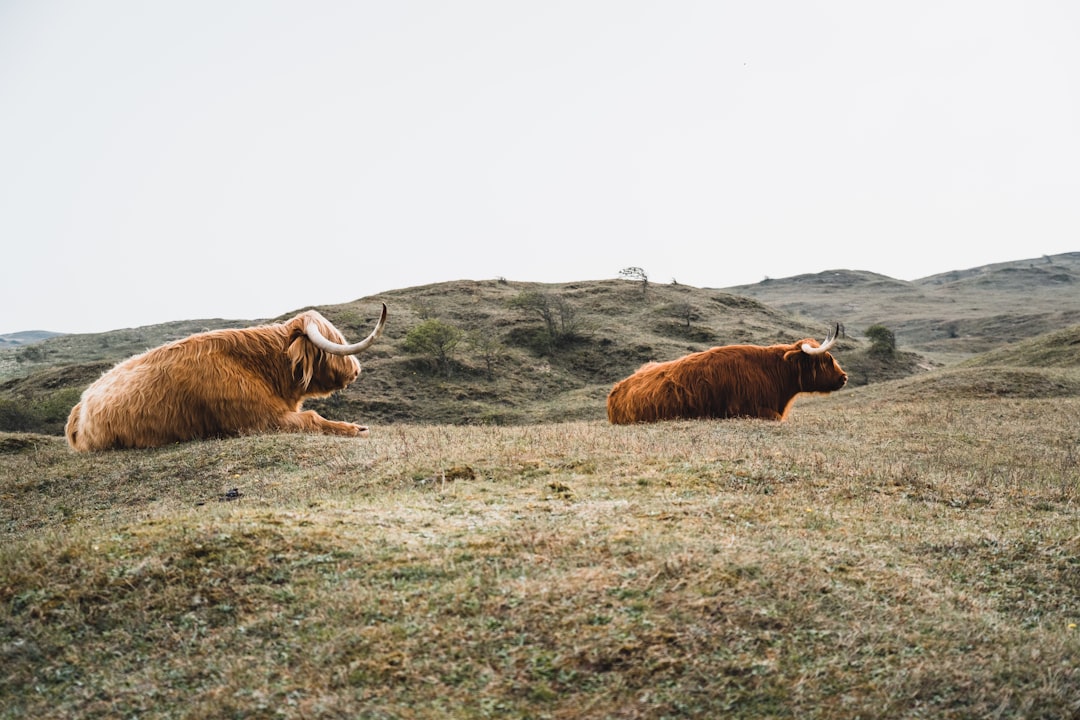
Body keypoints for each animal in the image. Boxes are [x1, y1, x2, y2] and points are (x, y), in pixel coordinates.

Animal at [64, 304, 388, 451]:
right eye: (335, 341)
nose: (356, 369)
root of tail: (79, 406)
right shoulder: (259, 421)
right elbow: (312, 418)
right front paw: (357, 429)